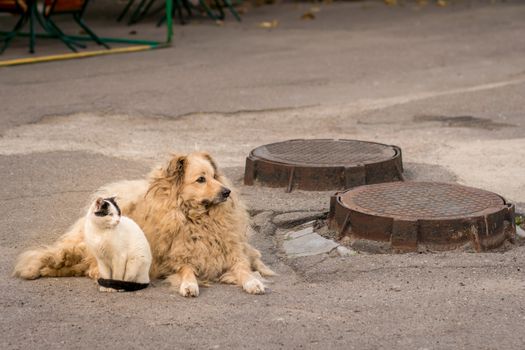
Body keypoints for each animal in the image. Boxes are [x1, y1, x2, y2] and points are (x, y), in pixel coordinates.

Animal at [12, 152, 274, 296]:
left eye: (214, 176)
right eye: (201, 179)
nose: (227, 192)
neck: (197, 218)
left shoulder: (232, 255)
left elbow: (244, 269)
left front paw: (253, 281)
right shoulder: (176, 259)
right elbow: (187, 271)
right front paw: (189, 285)